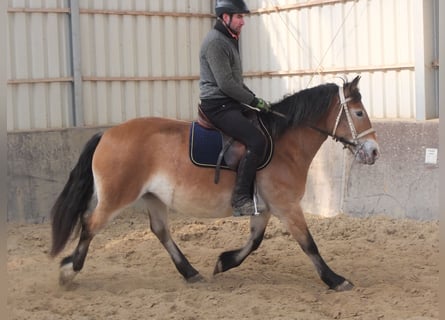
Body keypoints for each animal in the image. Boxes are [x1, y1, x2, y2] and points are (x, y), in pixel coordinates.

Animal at [51, 76, 378, 292]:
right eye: (359, 113)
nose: (374, 151)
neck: (285, 143)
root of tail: (106, 134)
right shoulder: (287, 206)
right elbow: (309, 244)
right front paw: (336, 280)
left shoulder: (265, 208)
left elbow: (255, 242)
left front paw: (224, 262)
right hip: (116, 197)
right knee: (90, 224)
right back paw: (69, 271)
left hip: (153, 197)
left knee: (160, 231)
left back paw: (190, 272)